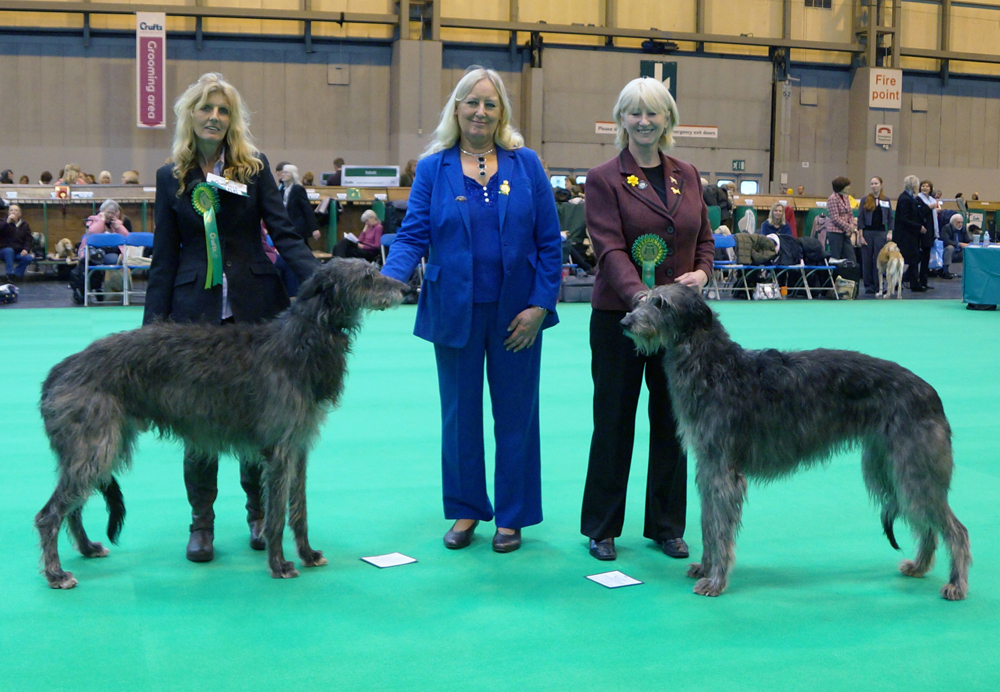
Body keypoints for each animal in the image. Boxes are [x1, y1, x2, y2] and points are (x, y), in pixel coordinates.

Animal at [36, 260, 406, 588]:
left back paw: (86, 548)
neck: (303, 338)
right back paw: (56, 574)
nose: (405, 288)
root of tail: (59, 371)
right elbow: (276, 516)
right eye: (368, 277)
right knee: (49, 514)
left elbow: (299, 509)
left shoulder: (298, 446)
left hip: (98, 446)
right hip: (95, 446)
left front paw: (308, 554)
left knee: (72, 508)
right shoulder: (279, 450)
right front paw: (279, 564)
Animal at [620, 284, 972, 596]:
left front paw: (716, 581)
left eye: (662, 303)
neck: (713, 366)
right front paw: (705, 568)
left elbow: (720, 527)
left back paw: (956, 584)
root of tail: (930, 392)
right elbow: (709, 522)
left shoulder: (723, 471)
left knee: (956, 529)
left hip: (914, 468)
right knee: (927, 524)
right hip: (888, 467)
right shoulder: (708, 467)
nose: (625, 322)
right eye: (642, 299)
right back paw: (919, 566)